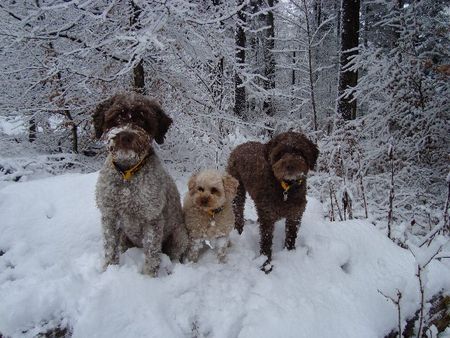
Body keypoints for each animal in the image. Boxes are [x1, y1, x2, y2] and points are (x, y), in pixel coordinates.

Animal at [93, 93, 188, 278]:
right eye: (117, 116)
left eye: (143, 118)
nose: (126, 136)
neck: (127, 174)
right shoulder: (110, 214)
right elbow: (110, 247)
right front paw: (109, 269)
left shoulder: (152, 218)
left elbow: (152, 252)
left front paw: (149, 277)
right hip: (125, 237)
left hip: (179, 236)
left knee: (172, 254)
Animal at [227, 132, 318, 272]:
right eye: (280, 153)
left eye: (299, 151)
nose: (290, 166)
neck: (286, 188)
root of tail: (242, 145)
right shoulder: (267, 215)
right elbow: (266, 239)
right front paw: (265, 264)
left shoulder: (295, 214)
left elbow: (291, 235)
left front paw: (290, 252)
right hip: (237, 190)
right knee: (238, 211)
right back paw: (239, 231)